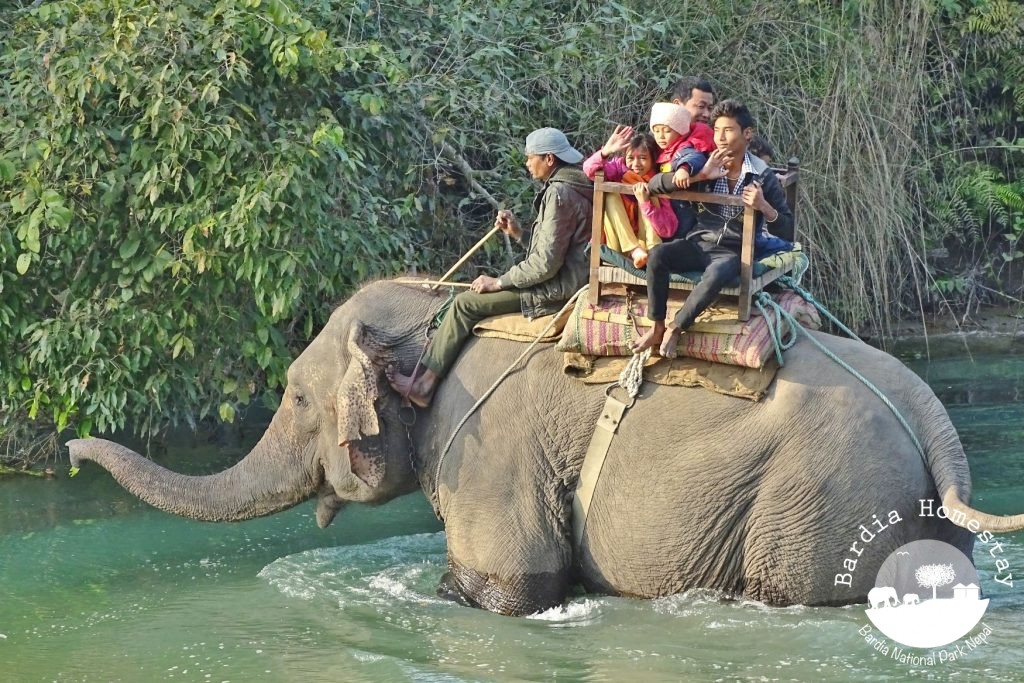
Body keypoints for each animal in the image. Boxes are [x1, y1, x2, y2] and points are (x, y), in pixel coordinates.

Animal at [68, 280, 1024, 616]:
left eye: (297, 398)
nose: (74, 454)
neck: (435, 305)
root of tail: (932, 417)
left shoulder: (487, 452)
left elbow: (506, 590)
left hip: (820, 501)